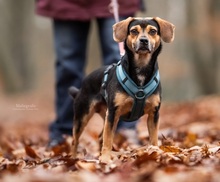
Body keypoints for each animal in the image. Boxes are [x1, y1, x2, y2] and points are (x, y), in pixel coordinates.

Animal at [69, 16, 175, 162]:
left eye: (153, 31)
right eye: (134, 31)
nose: (144, 40)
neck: (141, 68)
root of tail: (83, 84)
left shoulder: (154, 114)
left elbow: (153, 138)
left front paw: (156, 152)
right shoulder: (113, 113)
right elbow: (108, 139)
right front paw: (105, 159)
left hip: (106, 115)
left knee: (101, 136)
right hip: (83, 115)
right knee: (76, 140)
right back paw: (74, 158)